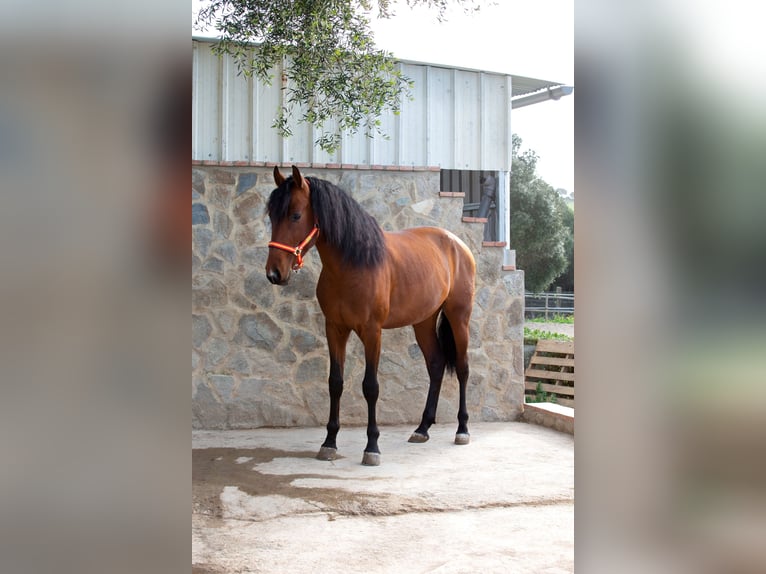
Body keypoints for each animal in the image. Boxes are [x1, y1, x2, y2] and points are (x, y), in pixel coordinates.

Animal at [266, 165, 476, 466]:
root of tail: (459, 245)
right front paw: (329, 443)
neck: (353, 264)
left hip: (459, 318)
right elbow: (335, 383)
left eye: (295, 215)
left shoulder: (372, 332)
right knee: (435, 365)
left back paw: (462, 429)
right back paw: (422, 428)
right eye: (271, 215)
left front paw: (372, 446)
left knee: (462, 368)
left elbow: (370, 387)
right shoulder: (335, 328)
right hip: (423, 321)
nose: (274, 273)